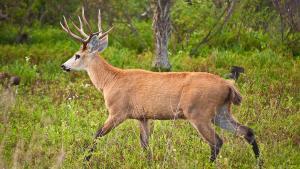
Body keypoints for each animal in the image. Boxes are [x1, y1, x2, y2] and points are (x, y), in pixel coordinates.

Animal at [59, 7, 258, 162]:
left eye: (77, 55)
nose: (63, 66)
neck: (110, 80)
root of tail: (229, 85)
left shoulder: (118, 112)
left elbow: (97, 135)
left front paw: (84, 160)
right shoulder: (143, 117)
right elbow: (145, 145)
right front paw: (149, 162)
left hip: (199, 113)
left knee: (217, 142)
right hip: (221, 112)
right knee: (247, 132)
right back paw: (259, 162)